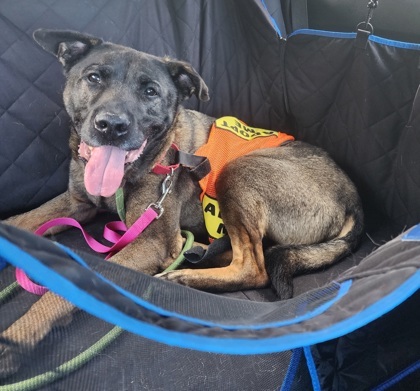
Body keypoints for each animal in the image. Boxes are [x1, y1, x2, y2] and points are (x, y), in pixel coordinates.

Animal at [0, 29, 362, 376]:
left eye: (150, 92)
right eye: (94, 77)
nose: (112, 126)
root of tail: (353, 197)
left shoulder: (149, 242)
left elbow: (69, 284)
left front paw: (19, 336)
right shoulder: (77, 203)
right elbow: (21, 221)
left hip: (239, 172)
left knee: (254, 267)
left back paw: (183, 275)